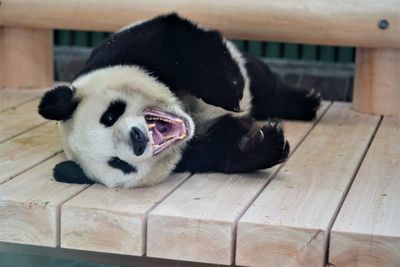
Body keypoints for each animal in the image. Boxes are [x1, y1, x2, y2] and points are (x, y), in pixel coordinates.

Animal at [37, 13, 318, 188]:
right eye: (119, 164)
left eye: (110, 115)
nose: (138, 139)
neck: (188, 112)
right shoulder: (189, 155)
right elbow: (219, 149)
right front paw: (265, 144)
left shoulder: (127, 50)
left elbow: (178, 45)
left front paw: (229, 93)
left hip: (245, 66)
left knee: (263, 85)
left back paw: (305, 102)